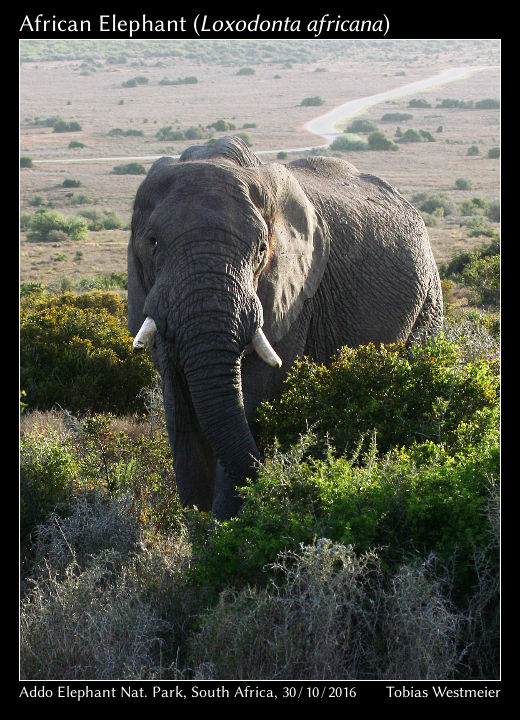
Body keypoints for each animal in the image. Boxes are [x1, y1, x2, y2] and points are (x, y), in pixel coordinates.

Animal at [128, 135, 440, 516]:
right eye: (153, 243)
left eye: (262, 249)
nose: (287, 486)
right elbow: (178, 404)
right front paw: (195, 523)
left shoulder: (297, 297)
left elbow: (258, 389)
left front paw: (228, 524)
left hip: (428, 296)